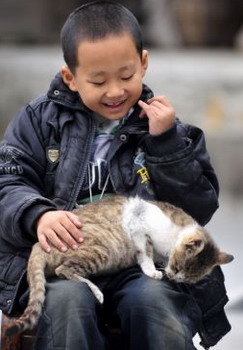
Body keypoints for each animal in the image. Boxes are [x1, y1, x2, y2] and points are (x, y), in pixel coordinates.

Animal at [4, 196, 234, 334]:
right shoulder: (139, 227)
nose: (172, 277)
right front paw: (151, 270)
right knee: (64, 270)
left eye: (186, 277)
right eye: (178, 267)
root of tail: (38, 244)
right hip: (104, 248)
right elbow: (145, 252)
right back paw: (96, 291)